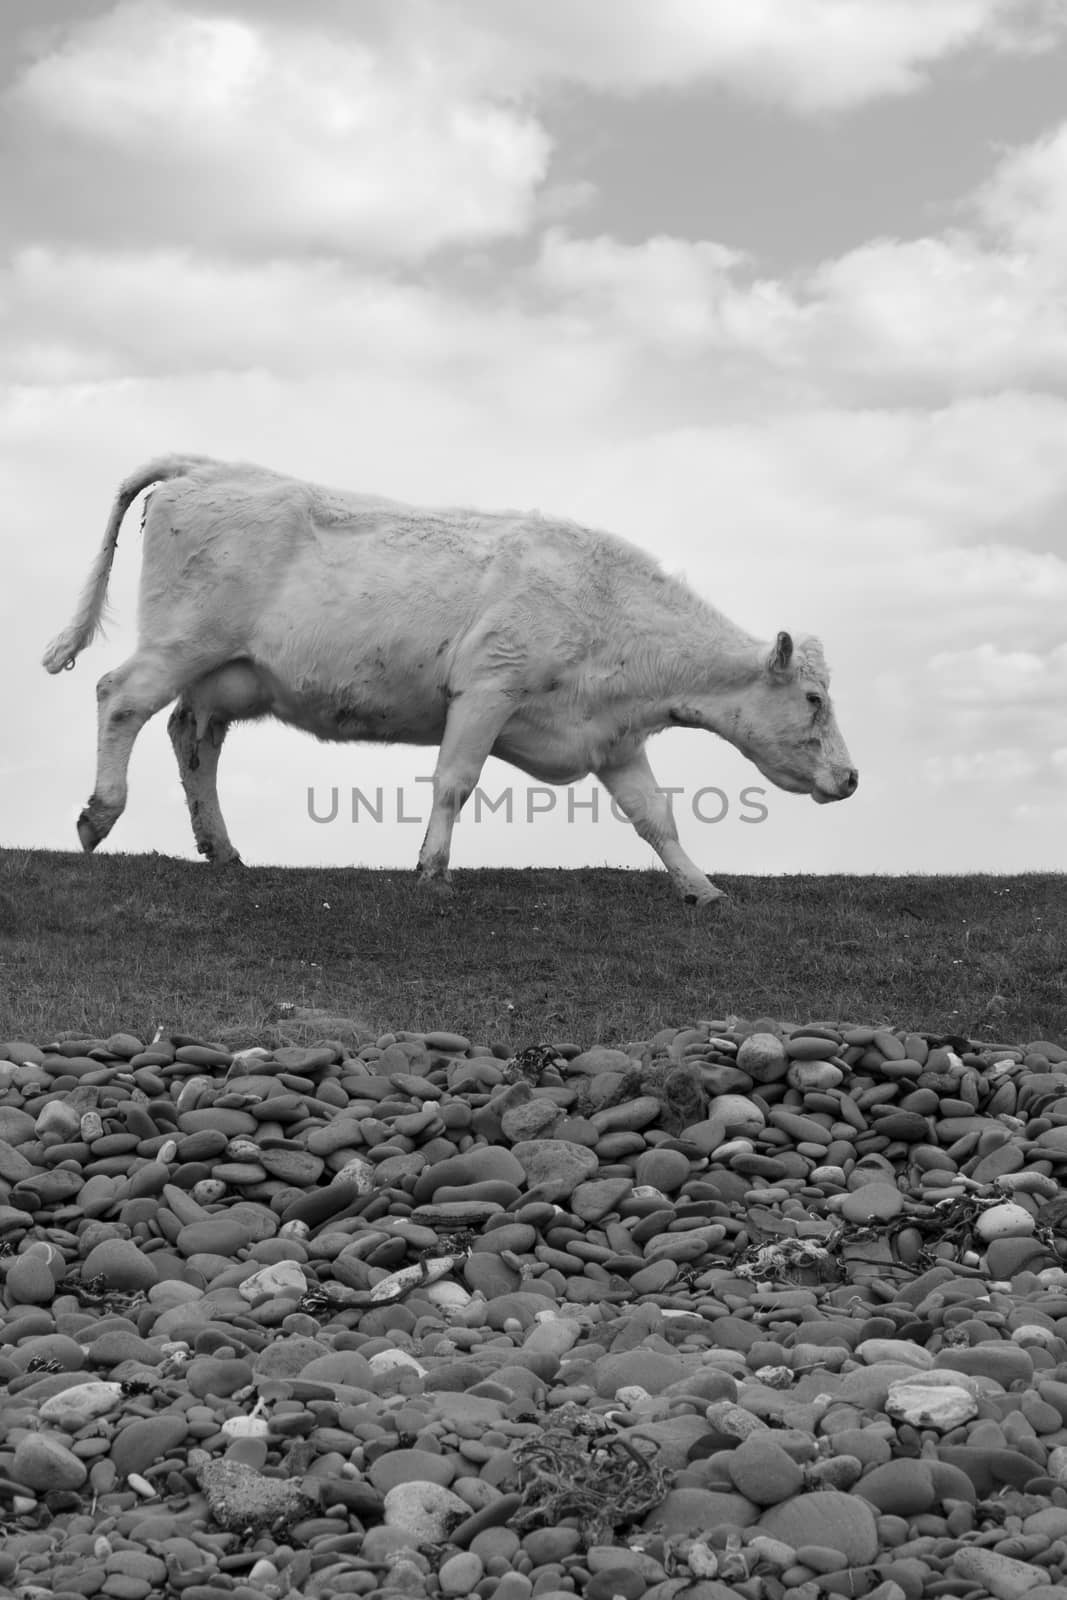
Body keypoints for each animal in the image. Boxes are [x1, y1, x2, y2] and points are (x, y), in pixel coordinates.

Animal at [41, 454, 857, 902]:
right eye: (814, 698)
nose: (850, 779)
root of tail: (208, 468)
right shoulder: (488, 688)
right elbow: (454, 781)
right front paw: (433, 868)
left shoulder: (612, 738)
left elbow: (656, 816)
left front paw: (701, 887)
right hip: (181, 643)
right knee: (121, 698)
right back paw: (99, 814)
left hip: (224, 675)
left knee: (192, 736)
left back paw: (222, 848)